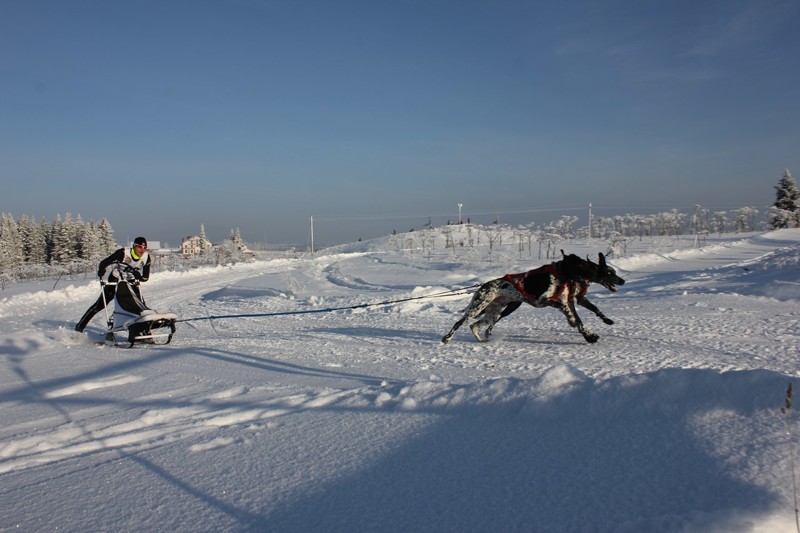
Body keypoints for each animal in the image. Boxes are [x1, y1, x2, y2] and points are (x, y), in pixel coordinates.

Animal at [444, 250, 624, 342]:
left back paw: (482, 339)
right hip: (478, 308)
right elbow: (575, 318)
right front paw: (587, 334)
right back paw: (447, 337)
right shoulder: (545, 300)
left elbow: (584, 315)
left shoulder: (570, 300)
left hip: (493, 313)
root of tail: (483, 286)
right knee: (459, 322)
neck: (560, 274)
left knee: (475, 325)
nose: (622, 280)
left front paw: (591, 331)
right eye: (582, 265)